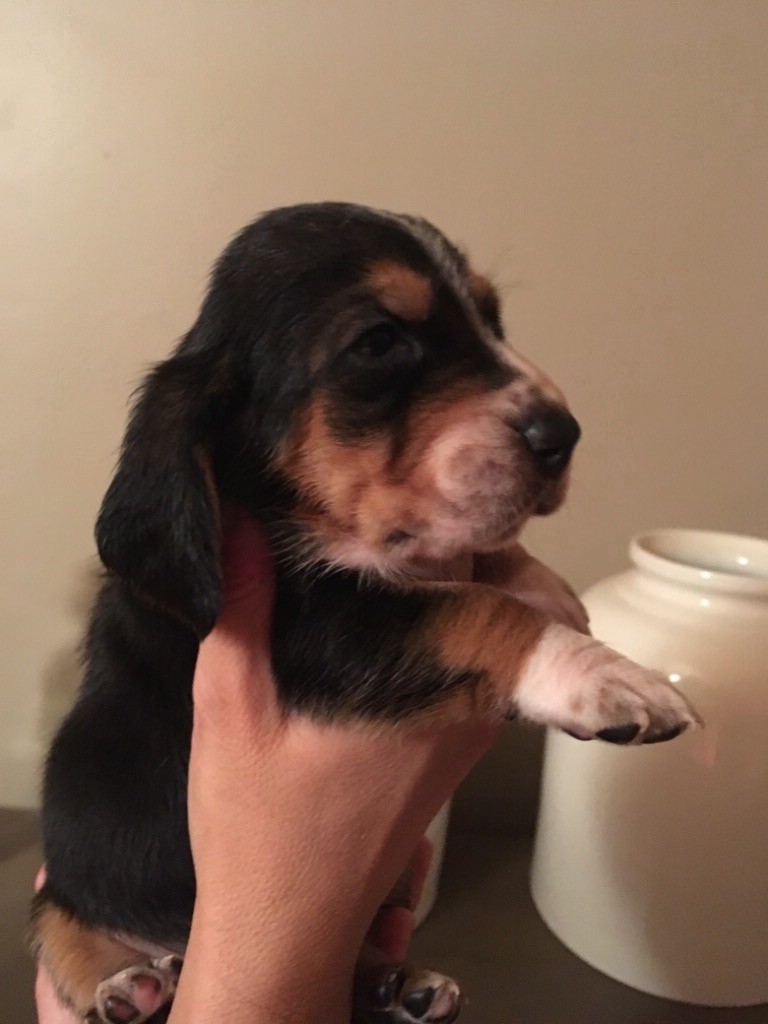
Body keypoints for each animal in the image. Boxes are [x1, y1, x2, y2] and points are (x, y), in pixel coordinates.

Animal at [31, 203, 699, 1024]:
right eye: (379, 343)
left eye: (492, 319)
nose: (563, 436)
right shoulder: (321, 630)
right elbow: (468, 608)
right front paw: (607, 677)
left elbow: (479, 564)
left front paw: (550, 588)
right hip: (72, 869)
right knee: (64, 927)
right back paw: (129, 985)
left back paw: (398, 986)